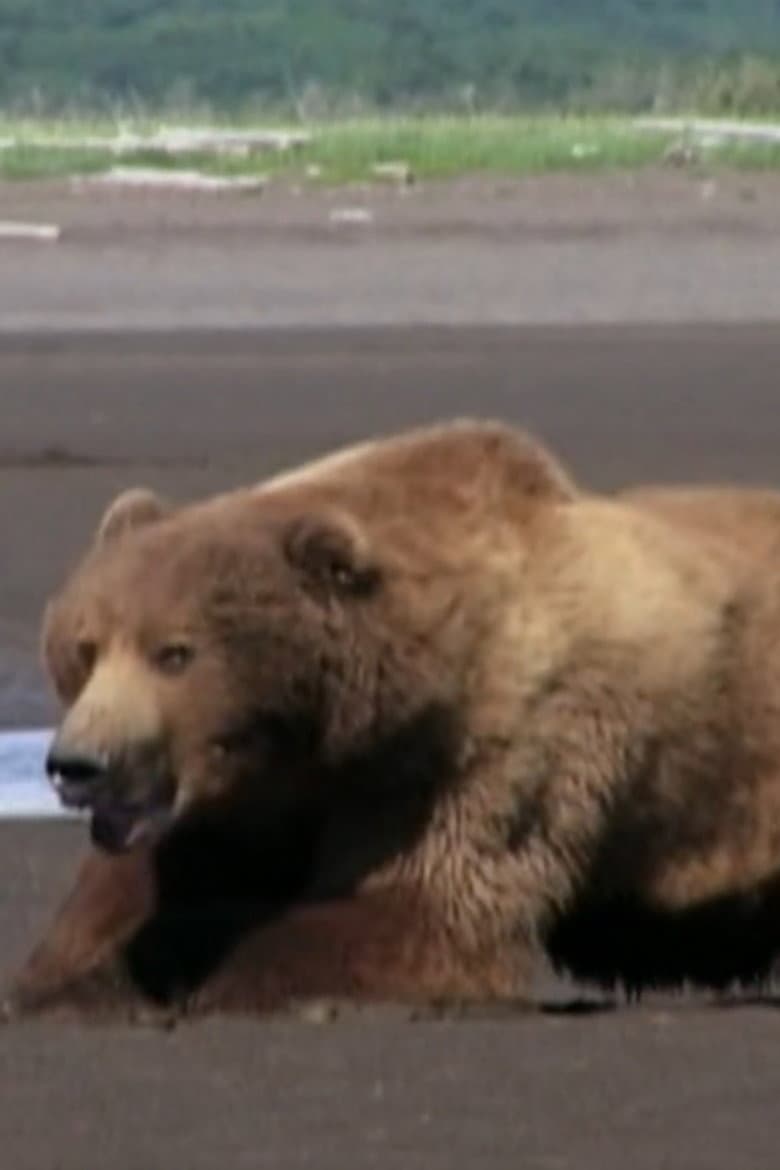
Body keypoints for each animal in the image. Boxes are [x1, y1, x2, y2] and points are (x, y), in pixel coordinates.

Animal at [7, 417, 780, 1024]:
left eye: (174, 652)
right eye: (85, 647)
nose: (79, 764)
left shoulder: (493, 751)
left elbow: (416, 911)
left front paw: (163, 971)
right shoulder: (263, 789)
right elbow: (139, 882)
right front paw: (66, 976)